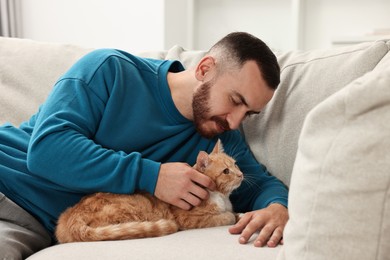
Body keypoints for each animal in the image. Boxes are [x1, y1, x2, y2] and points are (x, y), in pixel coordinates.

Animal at [56, 140, 242, 244]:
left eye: (235, 164)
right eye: (226, 171)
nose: (241, 174)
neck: (222, 197)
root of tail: (72, 217)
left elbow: (236, 213)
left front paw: (241, 214)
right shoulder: (190, 219)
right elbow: (225, 217)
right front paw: (231, 216)